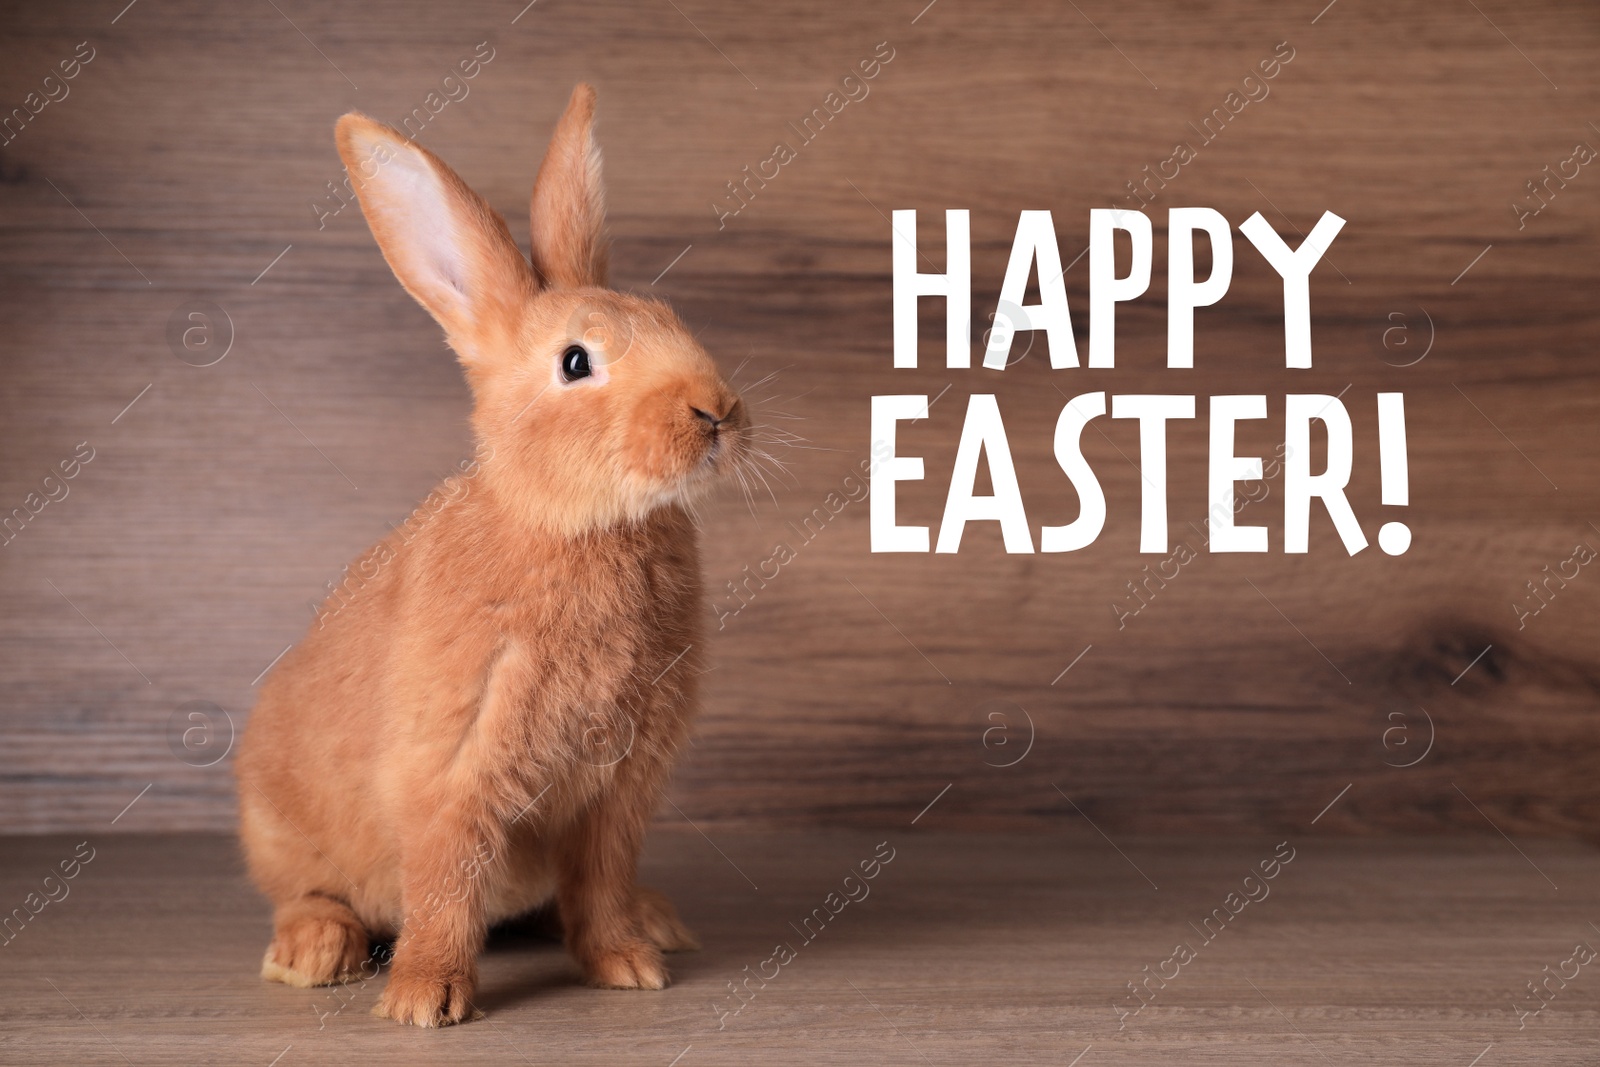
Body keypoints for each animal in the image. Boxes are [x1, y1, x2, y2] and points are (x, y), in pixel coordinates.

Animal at [236, 83, 748, 1023]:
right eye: (576, 362)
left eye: (672, 319)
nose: (716, 411)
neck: (573, 519)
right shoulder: (453, 768)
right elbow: (447, 880)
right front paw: (423, 1000)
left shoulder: (618, 791)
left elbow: (601, 882)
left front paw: (626, 964)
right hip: (281, 828)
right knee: (308, 890)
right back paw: (312, 952)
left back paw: (657, 923)